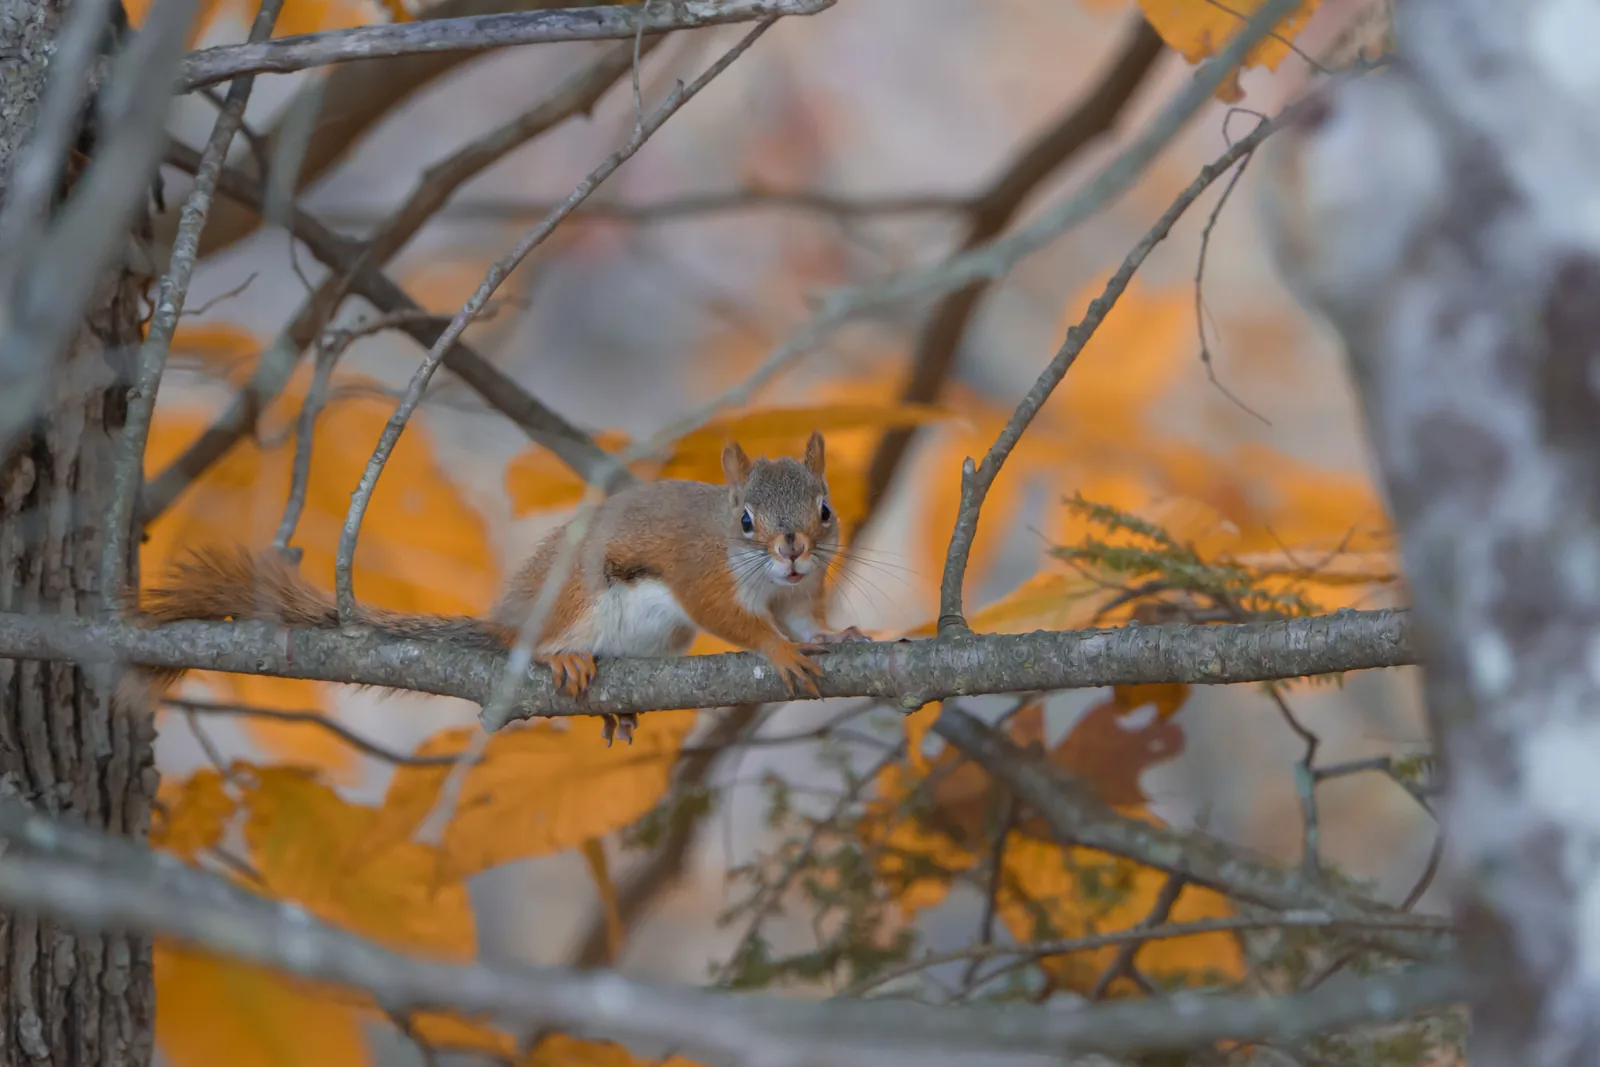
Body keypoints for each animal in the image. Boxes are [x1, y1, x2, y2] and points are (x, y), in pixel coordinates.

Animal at [129, 430, 866, 745]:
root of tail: (507, 614)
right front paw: (777, 650)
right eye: (746, 521)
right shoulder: (698, 572)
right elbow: (734, 618)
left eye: (825, 510)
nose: (794, 548)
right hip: (572, 593)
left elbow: (807, 619)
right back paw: (556, 656)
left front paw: (839, 632)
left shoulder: (797, 594)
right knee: (528, 641)